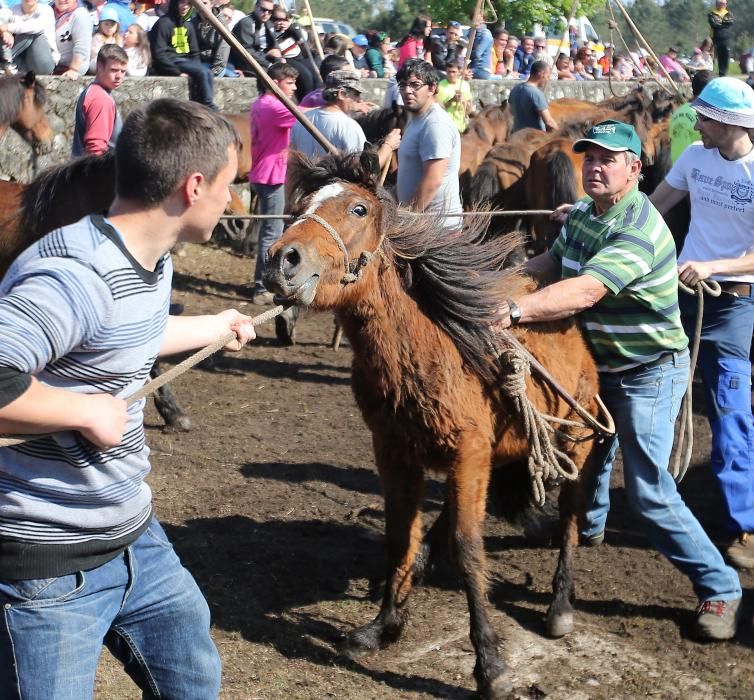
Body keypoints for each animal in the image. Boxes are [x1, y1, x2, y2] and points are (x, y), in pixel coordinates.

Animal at [264, 152, 600, 700]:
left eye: (358, 208)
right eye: (300, 206)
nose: (282, 260)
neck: (426, 352)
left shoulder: (468, 455)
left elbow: (468, 550)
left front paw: (490, 665)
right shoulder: (395, 453)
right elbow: (400, 533)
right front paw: (383, 626)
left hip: (575, 445)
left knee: (570, 519)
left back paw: (560, 607)